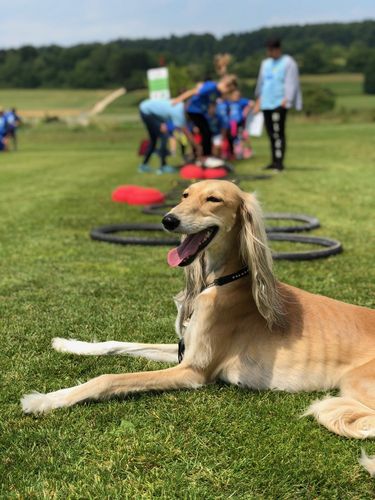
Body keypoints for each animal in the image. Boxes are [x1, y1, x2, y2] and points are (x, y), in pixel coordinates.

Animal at [22, 180, 375, 472]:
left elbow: (107, 379)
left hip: (356, 380)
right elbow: (116, 344)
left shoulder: (194, 371)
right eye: (184, 195)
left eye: (214, 199)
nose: (168, 220)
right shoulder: (184, 349)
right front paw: (70, 344)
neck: (222, 281)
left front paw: (44, 400)